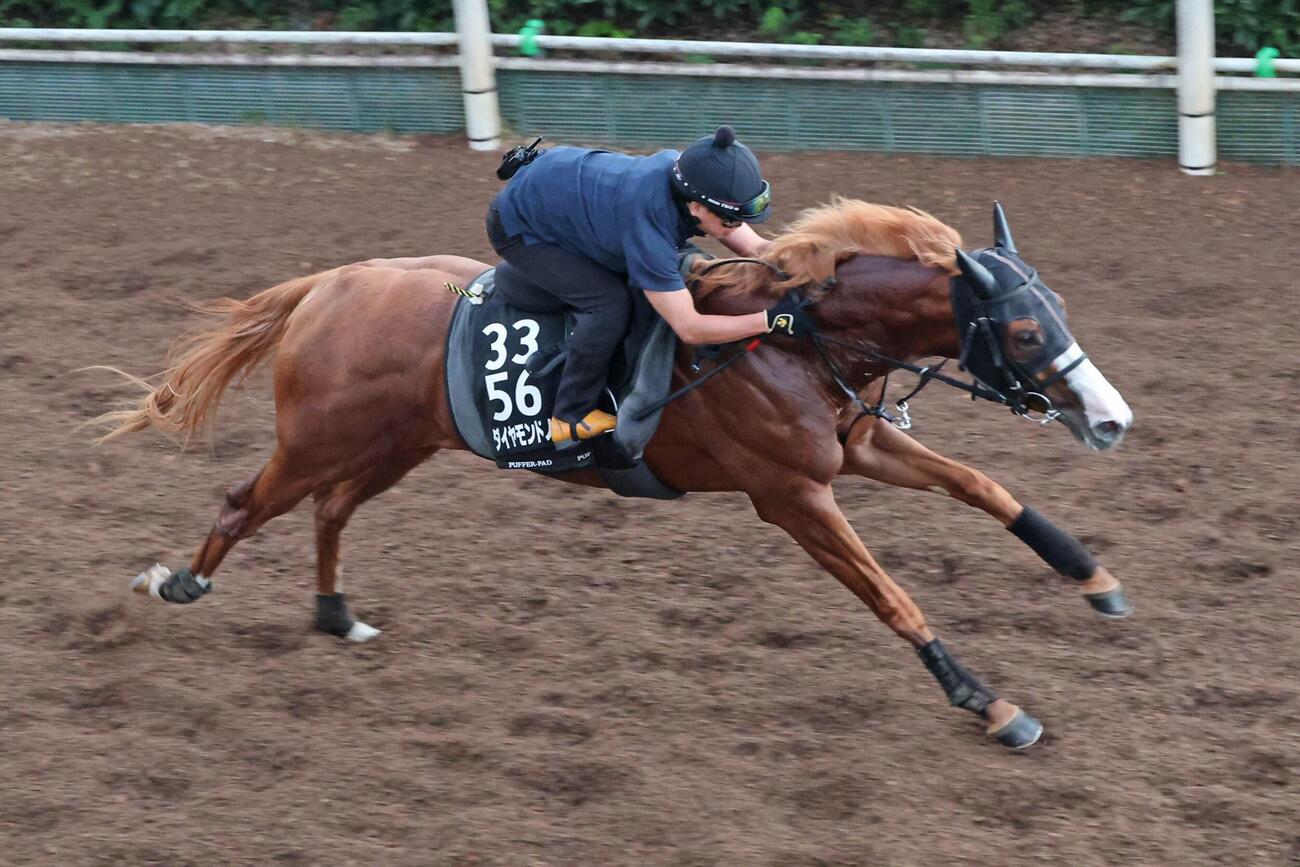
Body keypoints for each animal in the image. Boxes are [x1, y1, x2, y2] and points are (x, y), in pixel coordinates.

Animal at [97, 199, 1134, 750]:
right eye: (1024, 331)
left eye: (1059, 307)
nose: (1112, 419)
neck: (790, 340)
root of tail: (327, 284)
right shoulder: (792, 494)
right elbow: (894, 596)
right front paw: (990, 702)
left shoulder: (857, 444)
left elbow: (989, 490)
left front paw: (1094, 578)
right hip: (322, 437)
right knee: (246, 503)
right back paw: (175, 582)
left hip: (398, 443)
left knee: (331, 510)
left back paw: (335, 612)